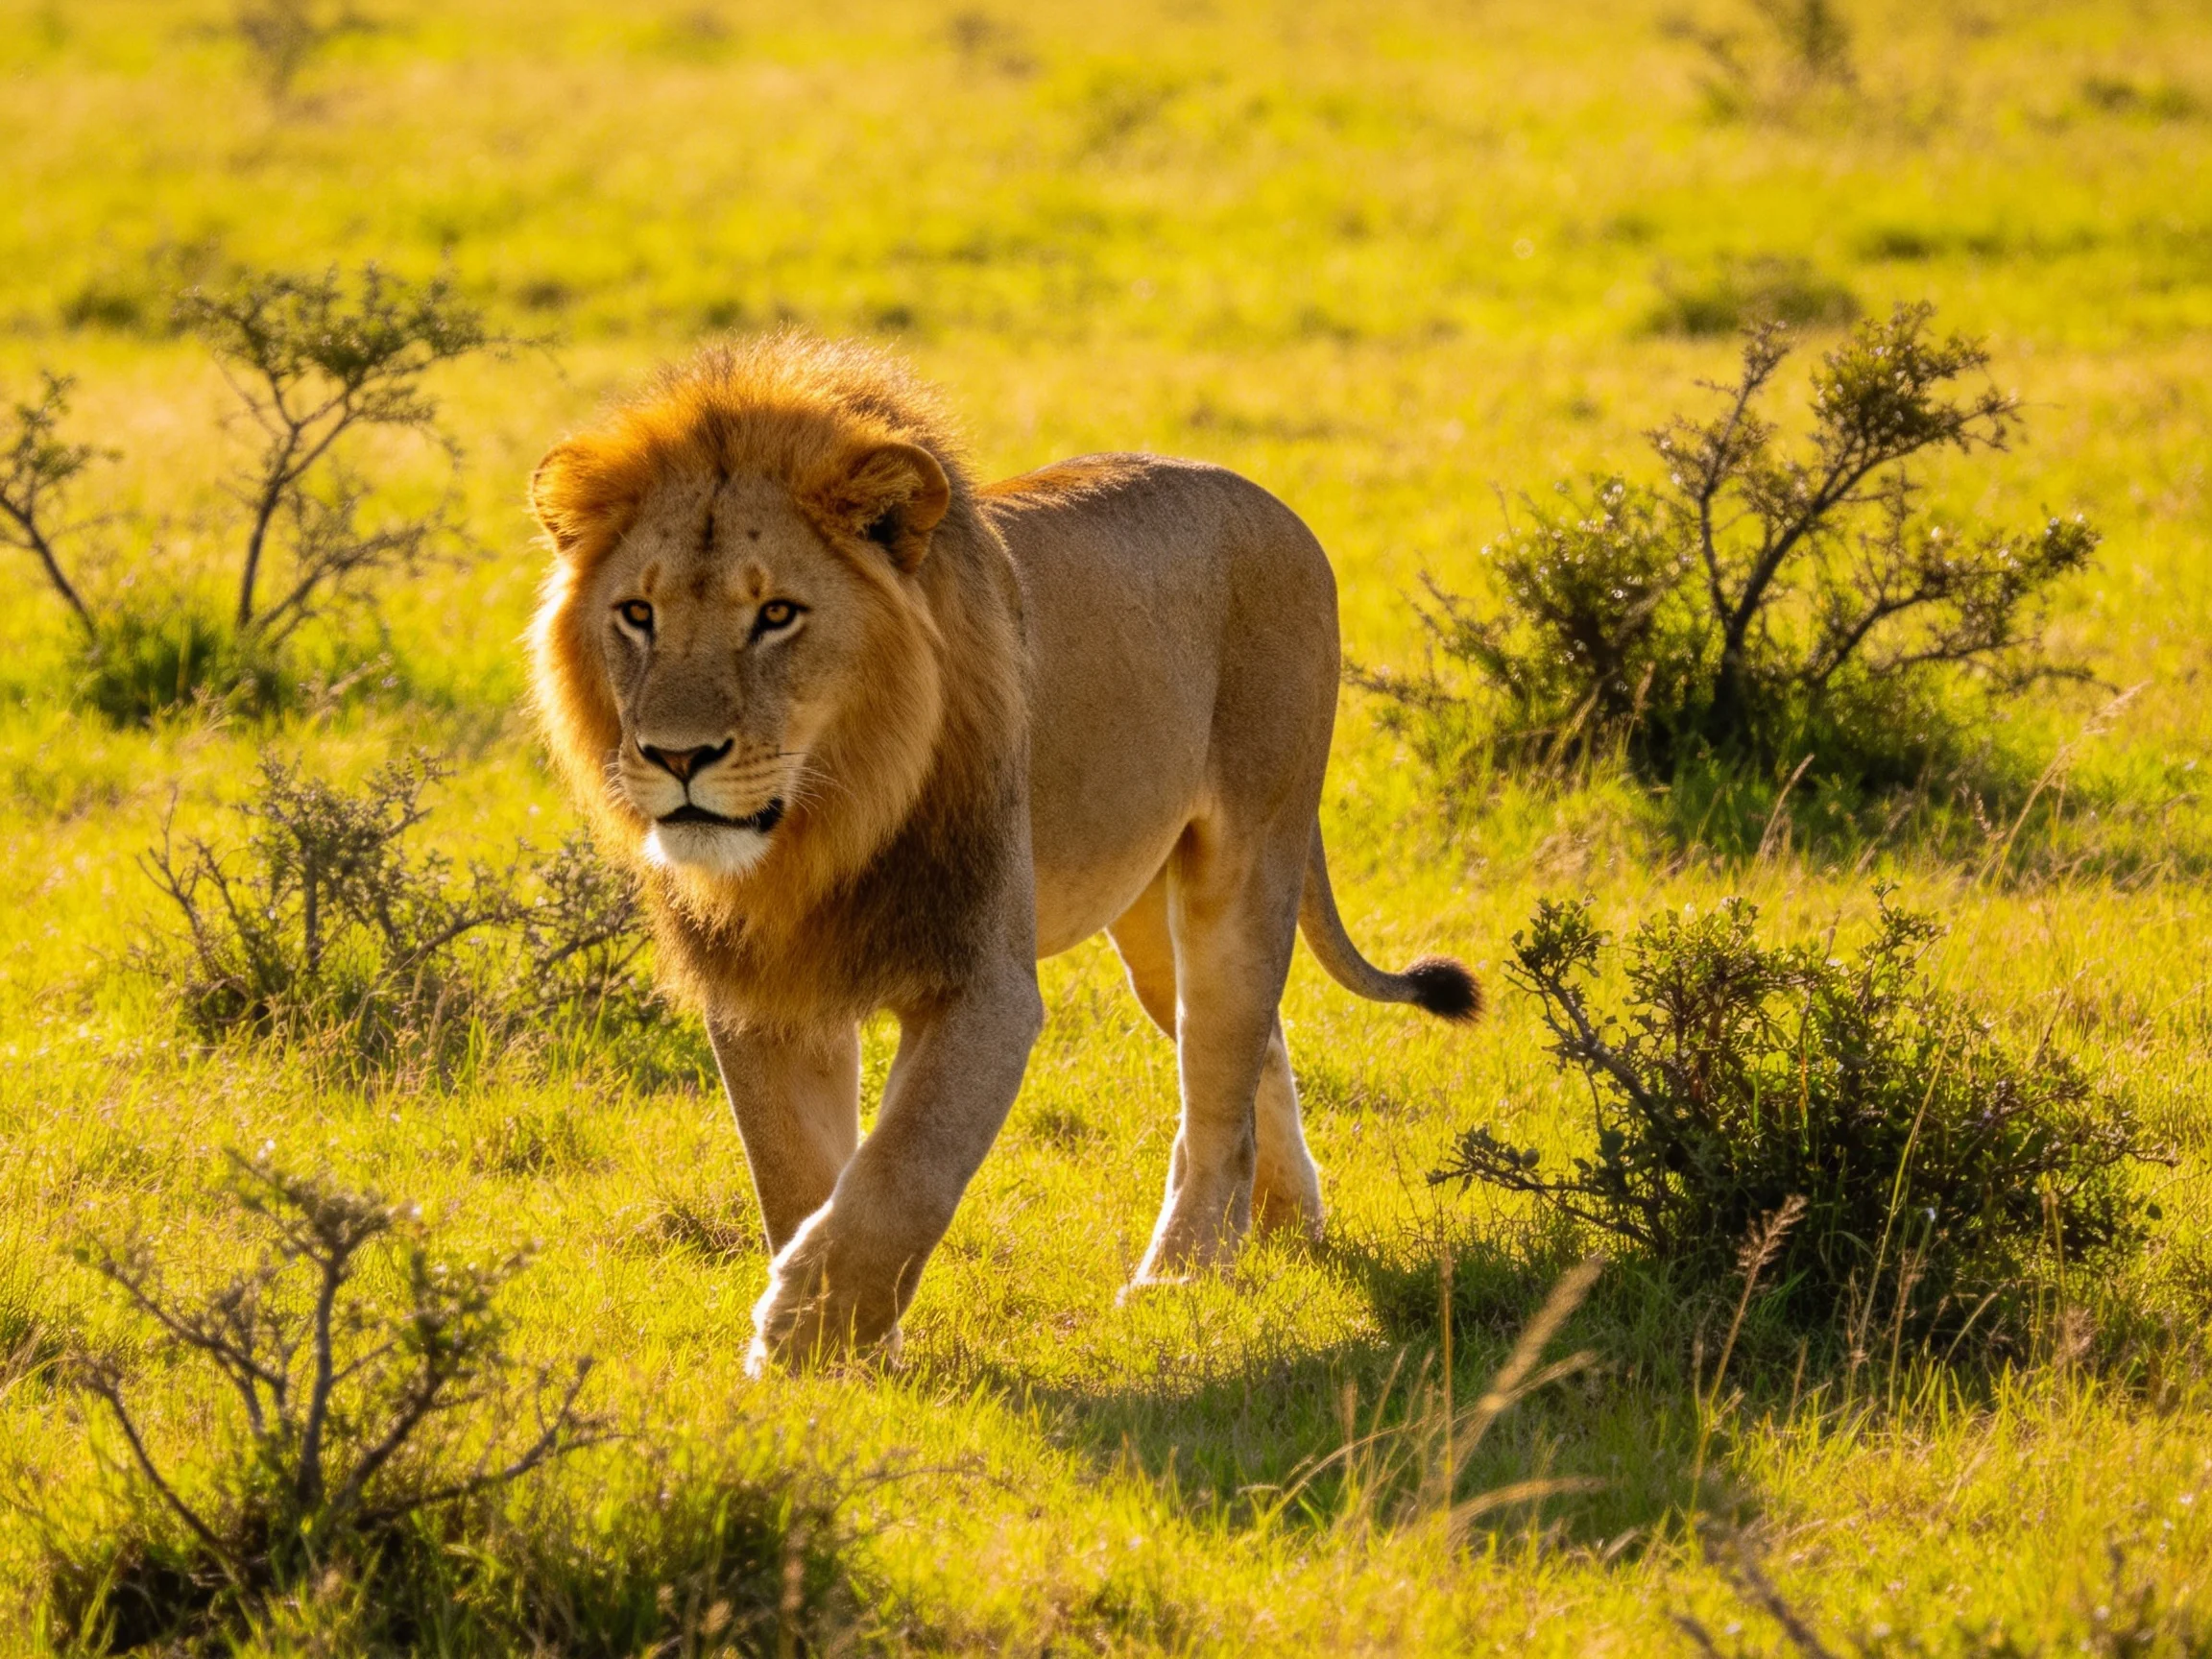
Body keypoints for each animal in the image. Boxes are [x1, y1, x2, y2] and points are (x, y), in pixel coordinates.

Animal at [528, 333, 1477, 1370]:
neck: (819, 831)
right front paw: (844, 1355)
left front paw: (803, 1337)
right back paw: (1281, 1227)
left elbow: (905, 1167)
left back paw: (1184, 1275)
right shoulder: (766, 992)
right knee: (1250, 1047)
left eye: (777, 614)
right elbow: (796, 1171)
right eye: (637, 614)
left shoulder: (983, 982)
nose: (678, 756)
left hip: (1249, 853)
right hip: (1148, 920)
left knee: (1222, 1076)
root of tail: (1274, 505)